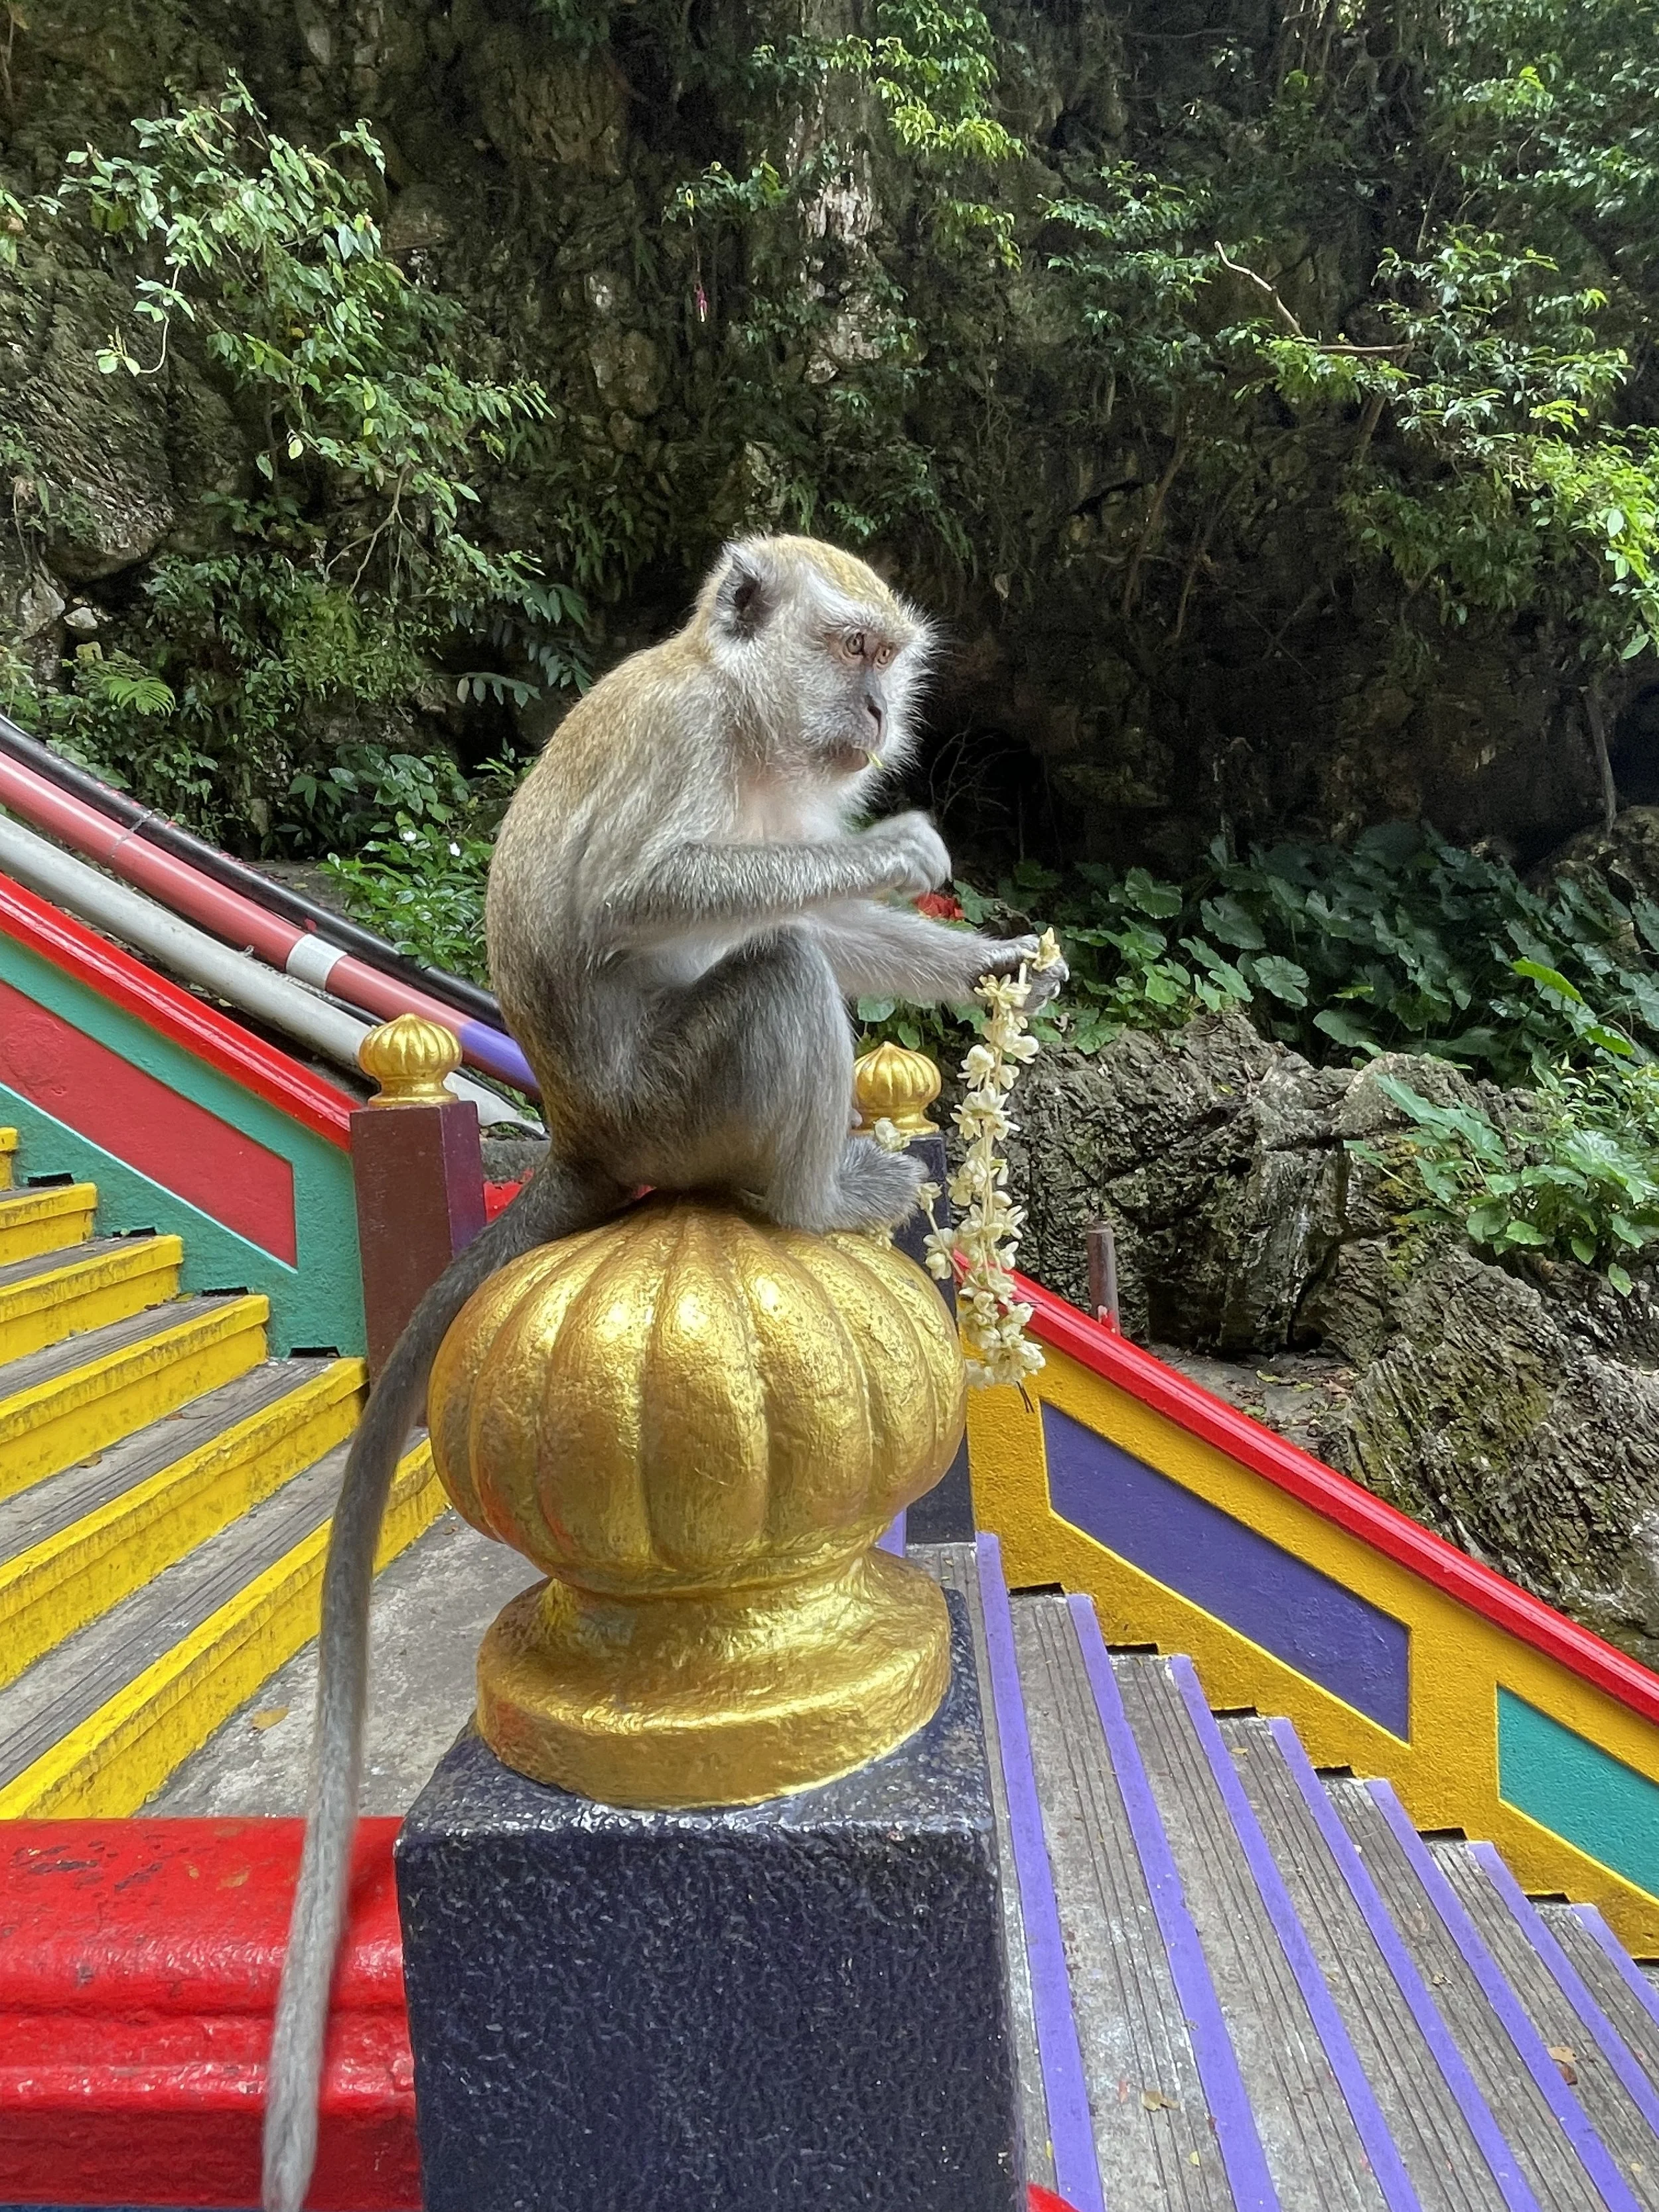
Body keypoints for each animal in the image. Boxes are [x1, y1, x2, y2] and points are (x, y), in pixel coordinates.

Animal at [261, 534, 1066, 2212]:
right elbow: (653, 894)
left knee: (789, 946)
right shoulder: (693, 750)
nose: (877, 719)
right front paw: (902, 850)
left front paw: (988, 948)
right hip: (675, 1110)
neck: (751, 732)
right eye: (852, 652)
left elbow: (823, 904)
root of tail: (582, 1136)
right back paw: (813, 1194)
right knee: (769, 962)